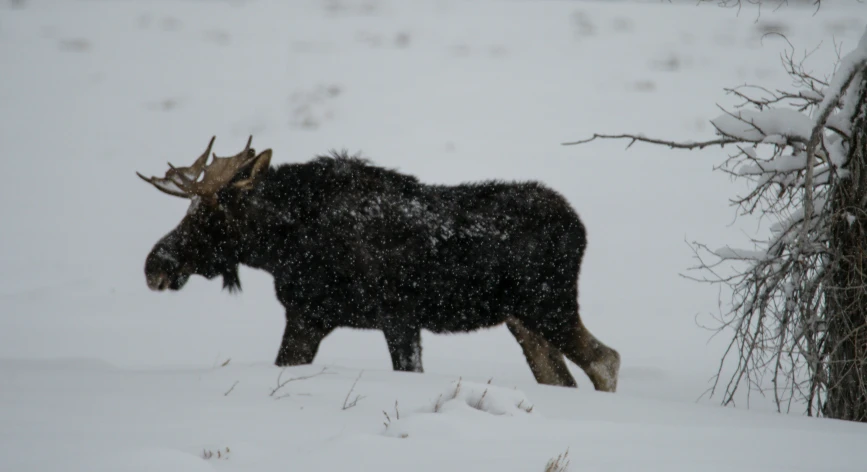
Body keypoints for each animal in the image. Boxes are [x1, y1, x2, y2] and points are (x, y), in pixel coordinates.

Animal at [137, 136, 616, 390]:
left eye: (211, 212)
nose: (154, 264)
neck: (283, 248)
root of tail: (579, 227)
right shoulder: (308, 315)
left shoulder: (399, 315)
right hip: (523, 321)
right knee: (561, 377)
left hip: (549, 305)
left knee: (605, 359)